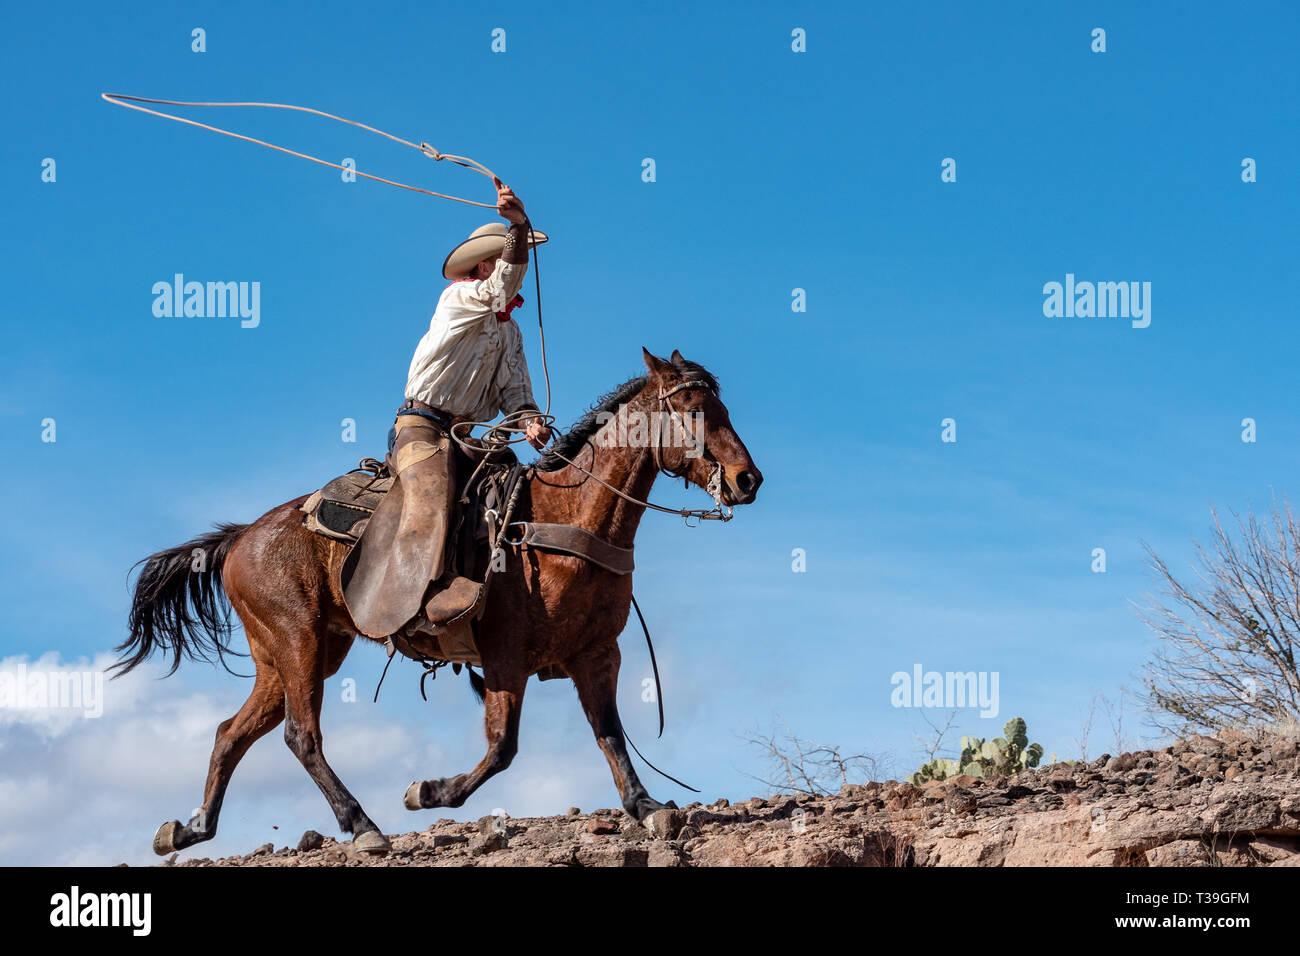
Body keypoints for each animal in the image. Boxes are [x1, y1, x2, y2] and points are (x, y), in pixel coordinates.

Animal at [115, 348, 763, 856]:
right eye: (693, 408)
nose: (746, 480)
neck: (566, 522)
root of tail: (242, 537)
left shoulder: (597, 654)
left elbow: (610, 733)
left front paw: (646, 806)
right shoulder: (504, 657)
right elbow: (502, 748)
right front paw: (427, 792)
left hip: (298, 652)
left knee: (233, 732)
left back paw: (190, 829)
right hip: (297, 641)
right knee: (301, 735)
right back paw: (363, 826)